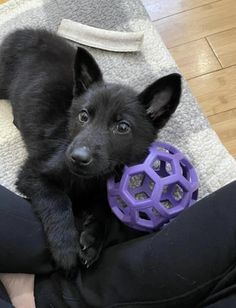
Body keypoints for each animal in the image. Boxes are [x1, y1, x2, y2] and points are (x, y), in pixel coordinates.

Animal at [0, 29, 181, 272]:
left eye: (122, 127)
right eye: (83, 116)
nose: (77, 158)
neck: (90, 179)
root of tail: (22, 32)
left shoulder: (105, 189)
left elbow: (106, 211)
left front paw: (93, 240)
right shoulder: (32, 173)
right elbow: (57, 200)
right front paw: (65, 247)